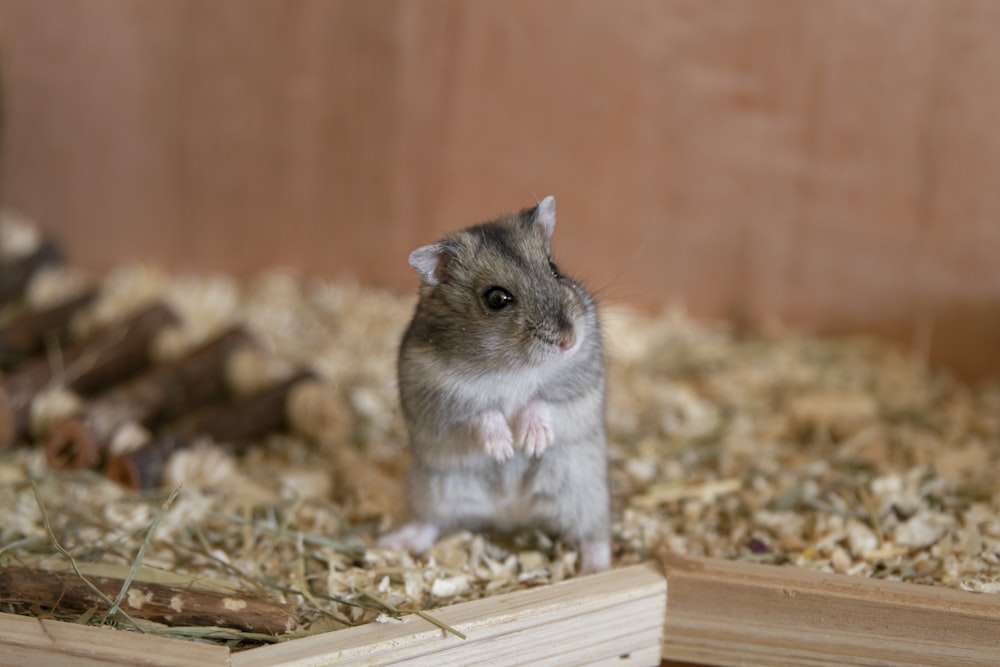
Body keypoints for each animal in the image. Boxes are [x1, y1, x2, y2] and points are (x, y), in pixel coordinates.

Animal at [376, 196, 608, 576]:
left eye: (554, 269)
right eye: (497, 298)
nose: (569, 340)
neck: (513, 367)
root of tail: (511, 515)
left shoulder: (580, 381)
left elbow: (542, 401)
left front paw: (530, 443)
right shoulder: (438, 397)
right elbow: (482, 412)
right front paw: (504, 449)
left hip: (585, 491)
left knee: (595, 535)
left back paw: (595, 570)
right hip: (435, 490)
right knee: (429, 523)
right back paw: (391, 543)